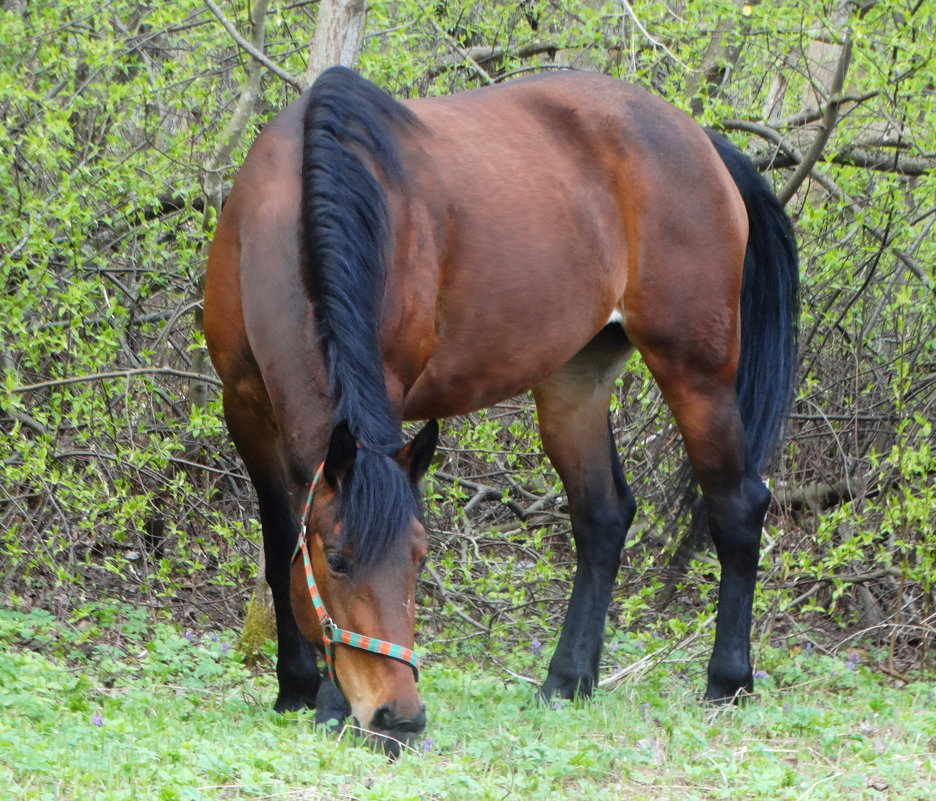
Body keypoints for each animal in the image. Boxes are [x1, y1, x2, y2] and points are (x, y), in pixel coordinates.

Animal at [207, 65, 796, 752]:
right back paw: (566, 681)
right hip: (574, 382)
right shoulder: (244, 409)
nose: (400, 717)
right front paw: (296, 688)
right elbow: (280, 548)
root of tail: (701, 141)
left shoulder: (385, 393)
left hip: (696, 371)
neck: (291, 214)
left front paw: (327, 703)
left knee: (736, 505)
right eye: (340, 560)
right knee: (602, 515)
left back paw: (728, 681)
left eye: (419, 558)